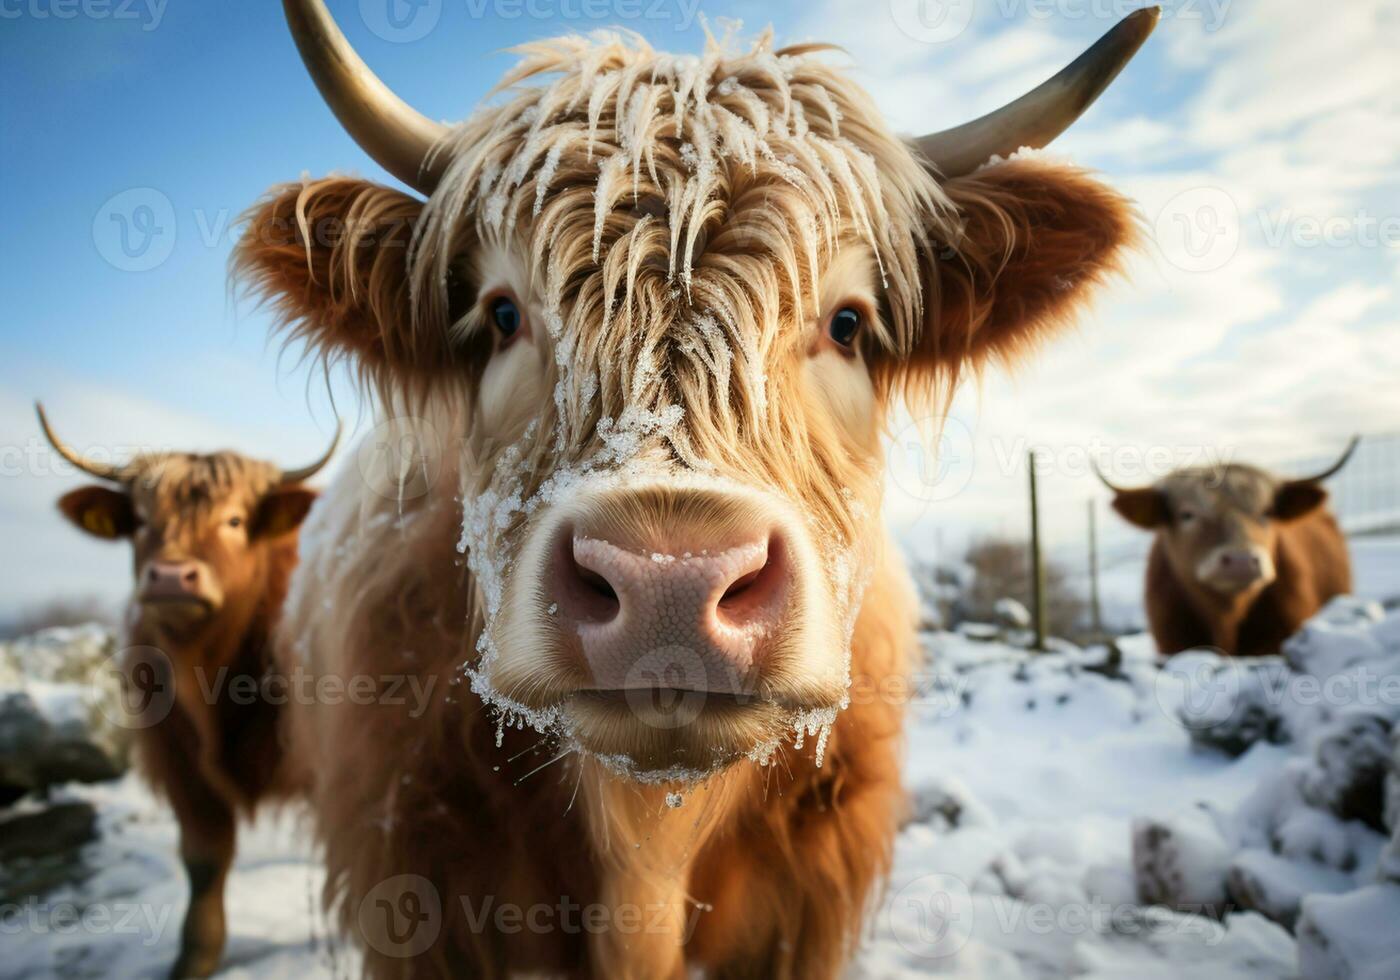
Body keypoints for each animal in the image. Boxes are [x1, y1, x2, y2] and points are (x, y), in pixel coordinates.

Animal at [39, 403, 336, 974]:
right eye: (140, 521)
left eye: (234, 521)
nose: (173, 577)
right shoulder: (179, 760)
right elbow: (204, 861)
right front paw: (193, 961)